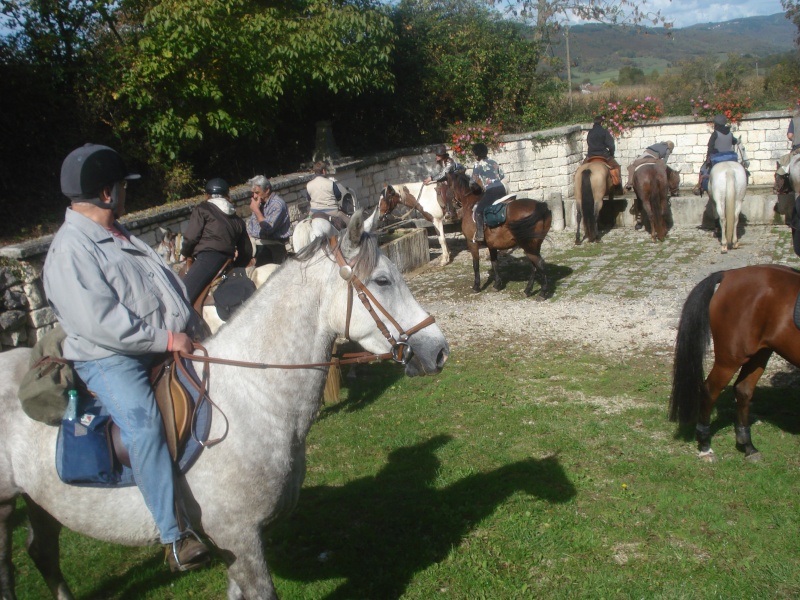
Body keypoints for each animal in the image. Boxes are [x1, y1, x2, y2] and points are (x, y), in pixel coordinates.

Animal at [0, 212, 450, 600]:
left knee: (43, 553)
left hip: (41, 503)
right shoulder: (240, 537)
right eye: (382, 280)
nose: (438, 350)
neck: (251, 398)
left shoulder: (235, 544)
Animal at [664, 264, 800, 464]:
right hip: (730, 358)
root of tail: (729, 274)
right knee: (710, 390)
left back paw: (748, 446)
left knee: (743, 390)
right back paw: (705, 445)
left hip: (759, 353)